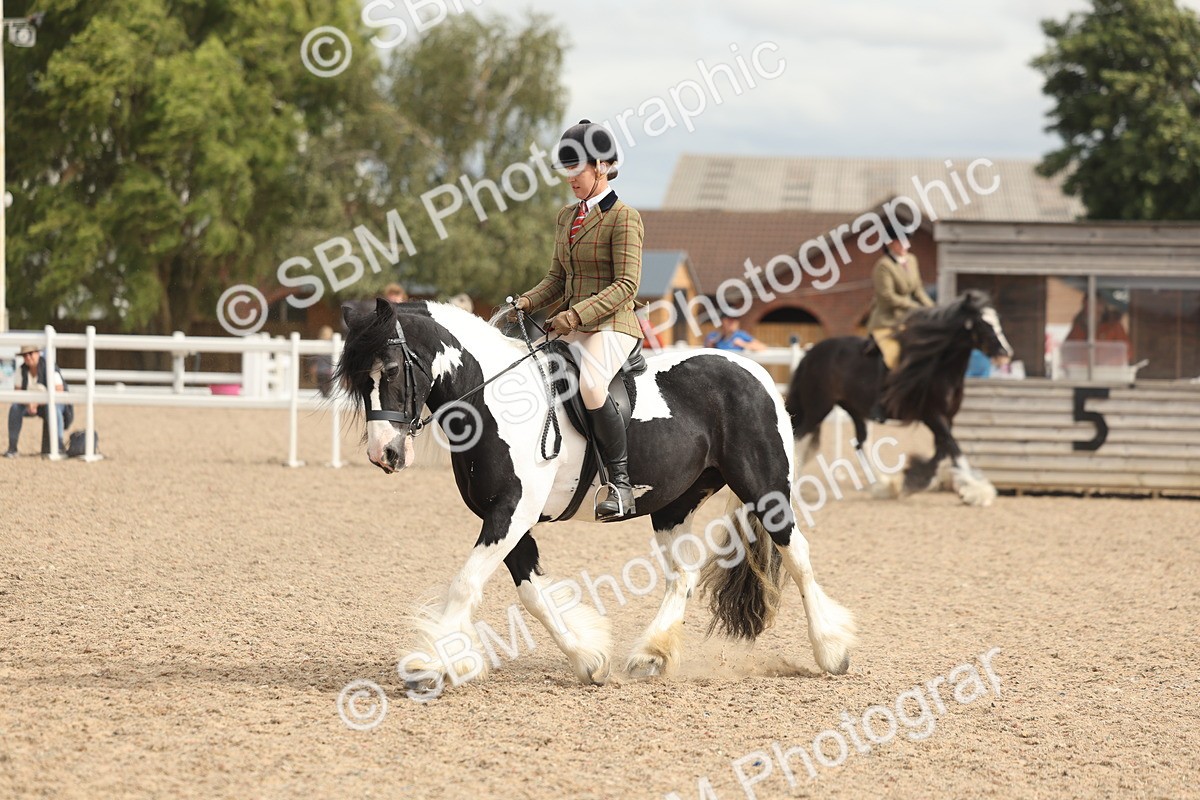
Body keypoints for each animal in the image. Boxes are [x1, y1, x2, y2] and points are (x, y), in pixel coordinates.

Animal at [335, 298, 856, 693]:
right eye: (358, 379)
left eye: (390, 370)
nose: (384, 453)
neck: (493, 401)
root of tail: (755, 371)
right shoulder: (507, 518)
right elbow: (532, 593)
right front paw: (587, 659)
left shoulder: (511, 512)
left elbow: (466, 582)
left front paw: (428, 665)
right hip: (673, 506)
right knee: (682, 575)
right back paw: (651, 655)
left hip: (765, 489)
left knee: (798, 555)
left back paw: (831, 651)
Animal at [785, 290, 1013, 507]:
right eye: (983, 324)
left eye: (998, 321)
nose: (1005, 354)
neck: (939, 369)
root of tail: (810, 353)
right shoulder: (932, 416)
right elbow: (953, 448)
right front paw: (977, 492)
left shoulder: (946, 418)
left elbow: (942, 451)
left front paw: (916, 479)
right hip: (818, 408)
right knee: (800, 437)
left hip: (855, 410)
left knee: (861, 444)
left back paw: (885, 486)